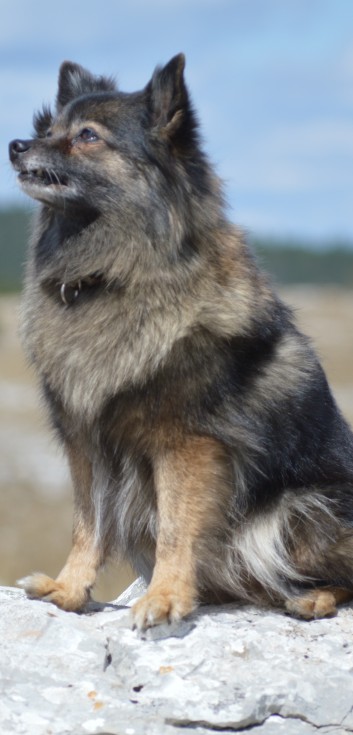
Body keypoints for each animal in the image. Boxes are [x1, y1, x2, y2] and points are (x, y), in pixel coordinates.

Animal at [8, 54, 352, 628]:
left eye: (87, 136)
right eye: (47, 129)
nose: (15, 144)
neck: (111, 276)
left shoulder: (184, 442)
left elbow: (176, 526)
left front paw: (165, 598)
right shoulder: (86, 440)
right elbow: (87, 524)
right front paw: (69, 590)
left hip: (300, 511)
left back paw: (312, 598)